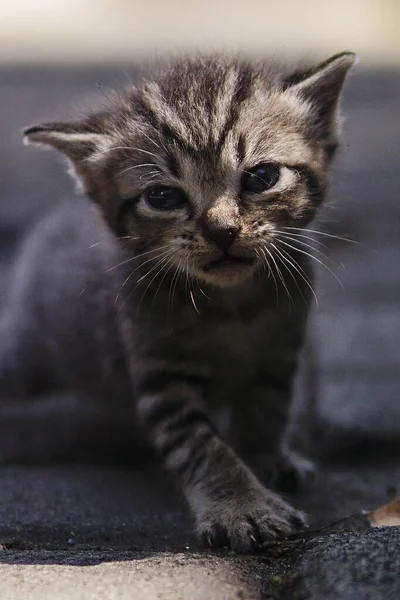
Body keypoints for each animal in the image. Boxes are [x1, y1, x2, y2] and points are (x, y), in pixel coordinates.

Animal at [0, 52, 356, 552]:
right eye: (163, 196)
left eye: (261, 177)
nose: (222, 231)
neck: (232, 307)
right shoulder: (160, 372)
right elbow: (200, 445)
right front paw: (243, 505)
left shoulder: (281, 353)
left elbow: (267, 412)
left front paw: (267, 461)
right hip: (27, 356)